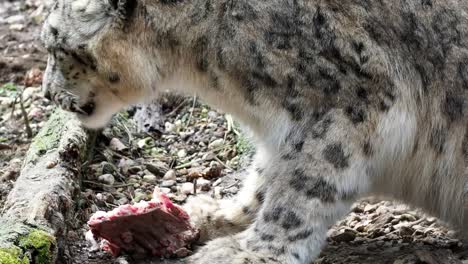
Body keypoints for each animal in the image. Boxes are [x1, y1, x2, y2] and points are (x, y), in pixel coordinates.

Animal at [41, 0, 468, 262]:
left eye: (55, 47)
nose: (45, 93)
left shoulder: (346, 103)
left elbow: (302, 188)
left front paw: (253, 251)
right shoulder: (284, 129)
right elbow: (268, 175)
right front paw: (220, 215)